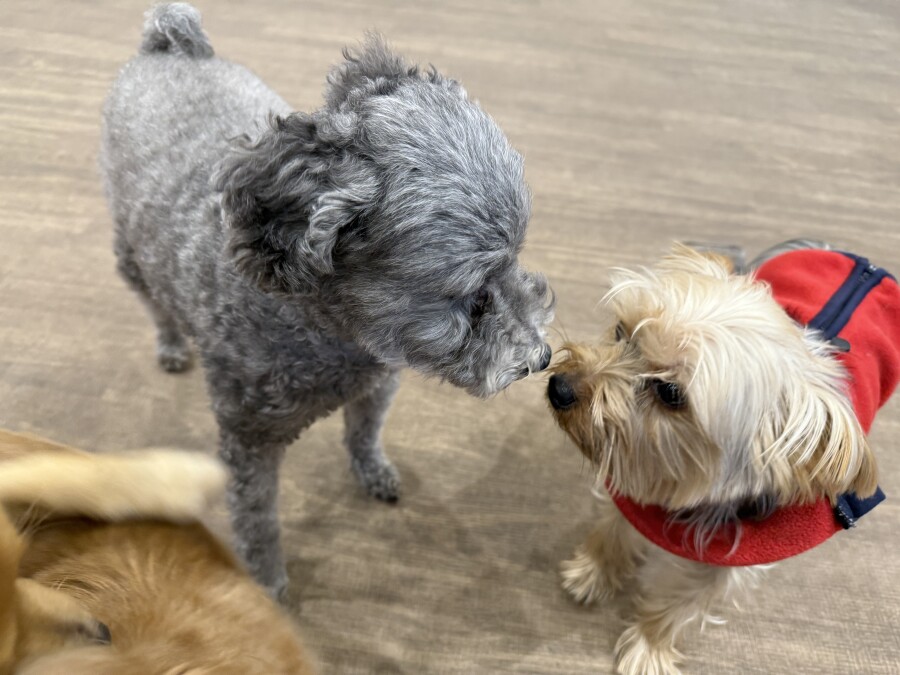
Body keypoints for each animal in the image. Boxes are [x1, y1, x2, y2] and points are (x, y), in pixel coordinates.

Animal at [100, 3, 554, 597]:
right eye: (470, 296)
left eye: (517, 260)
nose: (542, 358)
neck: (333, 332)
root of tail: (167, 45)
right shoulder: (248, 444)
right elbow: (258, 524)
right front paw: (269, 587)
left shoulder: (379, 382)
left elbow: (364, 434)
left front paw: (373, 472)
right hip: (131, 256)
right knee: (156, 303)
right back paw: (173, 344)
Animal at [547, 244, 899, 674]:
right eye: (620, 332)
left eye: (670, 393)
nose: (558, 388)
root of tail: (863, 263)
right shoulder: (632, 471)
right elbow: (612, 529)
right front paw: (592, 572)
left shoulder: (723, 565)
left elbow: (679, 608)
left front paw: (649, 648)